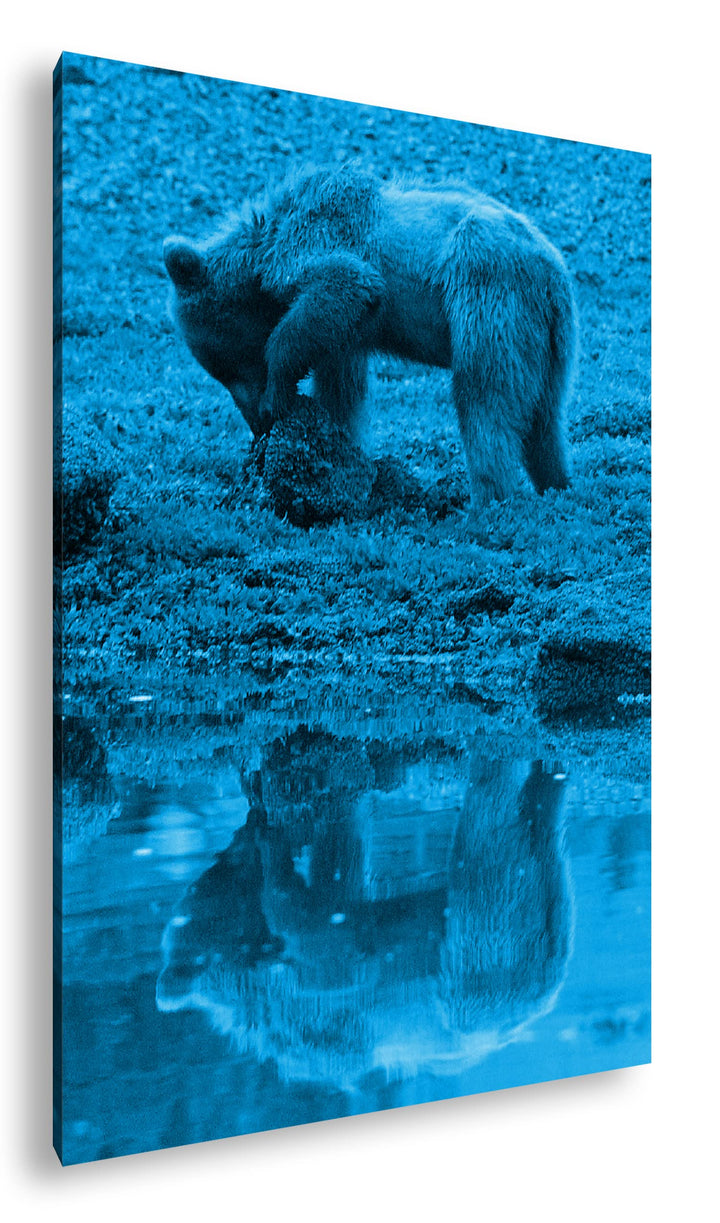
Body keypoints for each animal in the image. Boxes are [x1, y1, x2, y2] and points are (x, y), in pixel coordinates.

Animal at [163, 165, 577, 508]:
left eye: (230, 367)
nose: (255, 422)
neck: (262, 251)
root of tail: (552, 271)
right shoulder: (347, 335)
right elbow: (342, 388)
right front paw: (340, 454)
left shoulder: (317, 242)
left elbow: (347, 281)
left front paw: (278, 398)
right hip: (547, 344)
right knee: (543, 418)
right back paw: (555, 484)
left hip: (487, 292)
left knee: (483, 398)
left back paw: (487, 502)